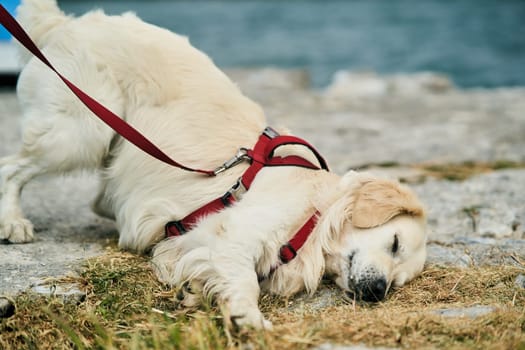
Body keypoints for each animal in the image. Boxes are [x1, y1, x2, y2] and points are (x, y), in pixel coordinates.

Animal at [1, 0, 426, 330]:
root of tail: (66, 23)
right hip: (77, 135)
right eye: (394, 243)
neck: (315, 217)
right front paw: (245, 316)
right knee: (11, 167)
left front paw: (196, 292)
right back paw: (13, 222)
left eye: (399, 282)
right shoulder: (236, 232)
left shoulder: (187, 243)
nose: (378, 292)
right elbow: (244, 279)